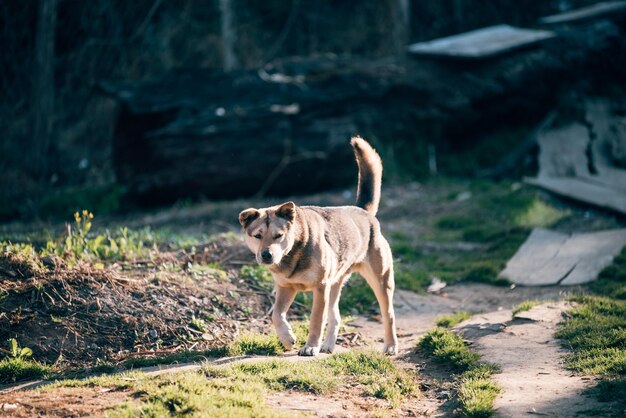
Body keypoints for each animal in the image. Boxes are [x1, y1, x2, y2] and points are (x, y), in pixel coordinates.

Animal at [239, 137, 394, 356]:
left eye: (279, 236)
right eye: (257, 236)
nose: (267, 255)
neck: (295, 250)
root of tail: (363, 211)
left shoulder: (320, 288)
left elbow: (316, 320)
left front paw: (311, 346)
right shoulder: (286, 287)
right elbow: (276, 315)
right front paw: (288, 339)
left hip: (380, 280)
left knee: (388, 314)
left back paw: (390, 345)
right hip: (336, 282)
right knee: (335, 315)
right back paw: (328, 345)